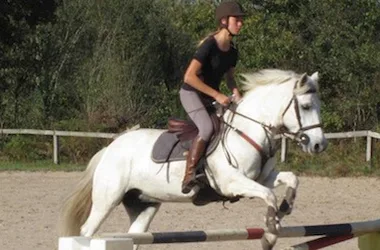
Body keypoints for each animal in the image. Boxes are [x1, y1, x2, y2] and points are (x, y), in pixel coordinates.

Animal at [58, 69, 326, 250]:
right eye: (305, 106)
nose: (319, 145)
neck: (249, 130)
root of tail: (111, 147)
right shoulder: (232, 183)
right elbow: (268, 195)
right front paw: (270, 234)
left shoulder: (263, 178)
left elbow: (291, 179)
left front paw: (285, 208)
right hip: (108, 199)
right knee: (87, 231)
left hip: (143, 205)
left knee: (134, 234)